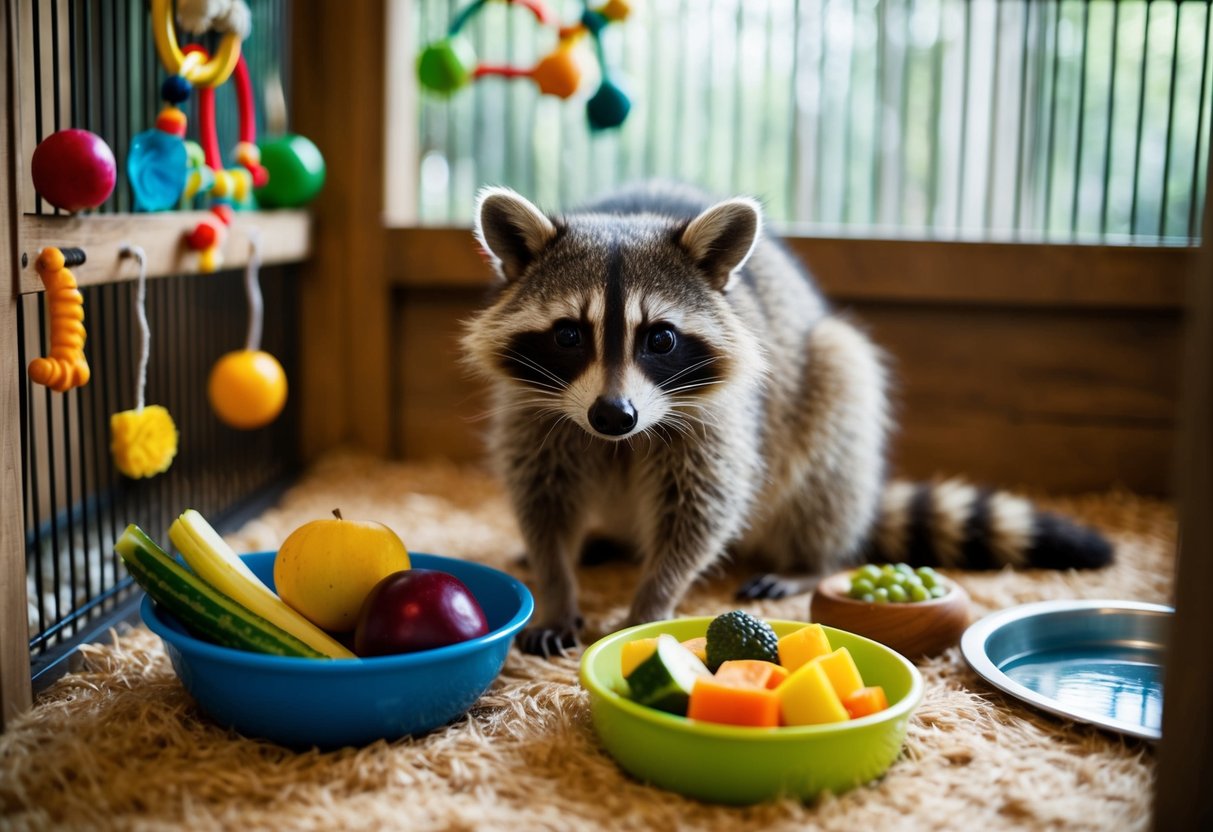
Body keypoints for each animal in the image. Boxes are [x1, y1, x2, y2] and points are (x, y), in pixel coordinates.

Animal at [461, 182, 1113, 657]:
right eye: (569, 335)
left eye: (660, 339)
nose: (614, 415)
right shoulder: (533, 411)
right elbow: (542, 498)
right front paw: (556, 584)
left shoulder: (716, 416)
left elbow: (701, 509)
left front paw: (653, 598)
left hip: (825, 379)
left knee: (838, 410)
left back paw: (808, 561)